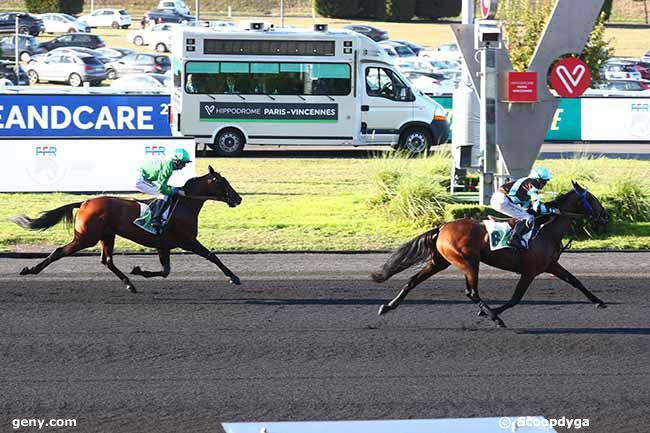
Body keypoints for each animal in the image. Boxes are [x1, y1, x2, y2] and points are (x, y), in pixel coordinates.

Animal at [11, 164, 242, 292]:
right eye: (223, 182)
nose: (238, 199)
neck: (185, 204)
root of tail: (85, 202)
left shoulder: (164, 245)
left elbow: (166, 271)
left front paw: (139, 270)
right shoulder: (187, 240)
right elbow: (212, 256)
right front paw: (234, 277)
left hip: (107, 235)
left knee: (107, 260)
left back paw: (129, 283)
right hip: (86, 237)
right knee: (60, 251)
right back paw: (31, 269)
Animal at [372, 181, 612, 326]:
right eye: (593, 199)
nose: (605, 217)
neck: (546, 230)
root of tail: (443, 226)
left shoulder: (551, 265)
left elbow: (575, 281)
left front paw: (599, 301)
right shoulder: (529, 271)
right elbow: (515, 298)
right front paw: (493, 314)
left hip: (440, 261)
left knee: (413, 280)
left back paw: (388, 306)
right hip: (469, 262)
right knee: (471, 292)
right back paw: (494, 317)